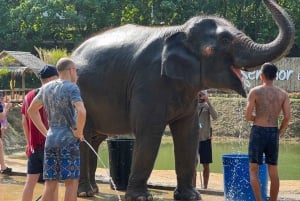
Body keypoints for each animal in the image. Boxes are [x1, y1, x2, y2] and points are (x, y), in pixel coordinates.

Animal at [71, 0, 294, 200]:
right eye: (224, 40)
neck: (179, 30)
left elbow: (188, 133)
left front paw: (191, 196)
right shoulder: (149, 81)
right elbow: (149, 132)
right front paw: (141, 197)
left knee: (95, 138)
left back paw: (94, 189)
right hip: (79, 93)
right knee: (83, 133)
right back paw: (86, 192)